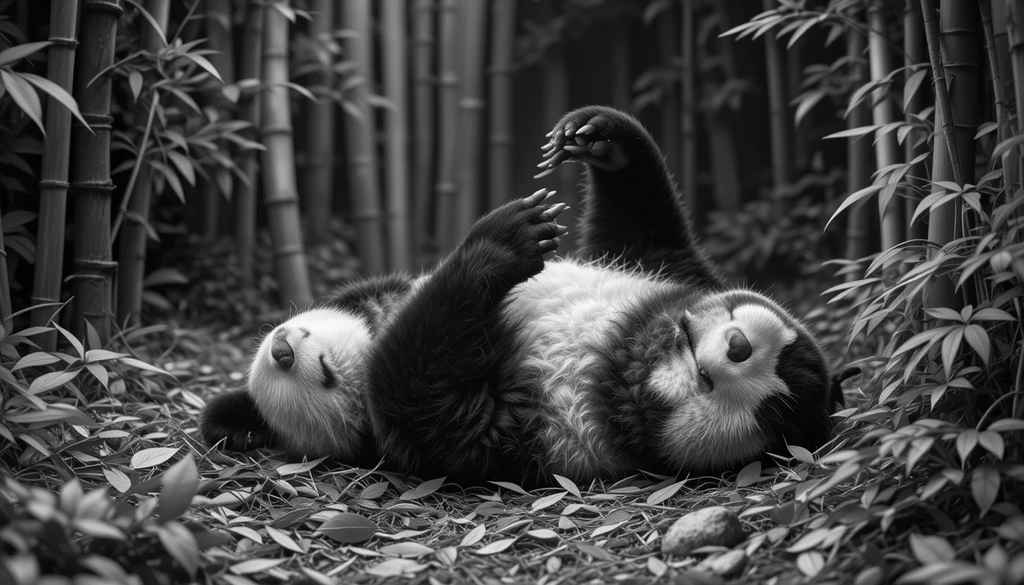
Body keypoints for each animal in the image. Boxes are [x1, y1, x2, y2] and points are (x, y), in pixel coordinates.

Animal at [200, 106, 857, 485]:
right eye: (761, 329)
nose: (741, 345)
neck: (618, 347)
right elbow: (642, 228)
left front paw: (500, 241)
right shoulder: (664, 274)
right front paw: (596, 137)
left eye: (766, 409)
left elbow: (413, 391)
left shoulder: (530, 433)